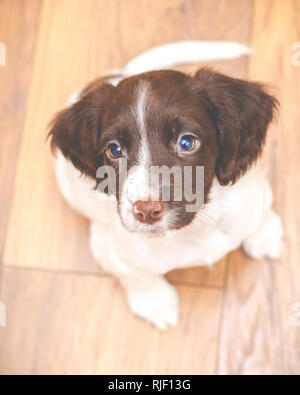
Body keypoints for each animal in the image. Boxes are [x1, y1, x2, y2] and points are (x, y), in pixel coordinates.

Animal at [48, 41, 282, 332]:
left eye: (187, 142)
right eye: (114, 150)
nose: (146, 210)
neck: (195, 230)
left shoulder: (248, 194)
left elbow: (260, 206)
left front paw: (264, 234)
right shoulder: (110, 248)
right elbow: (136, 276)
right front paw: (156, 303)